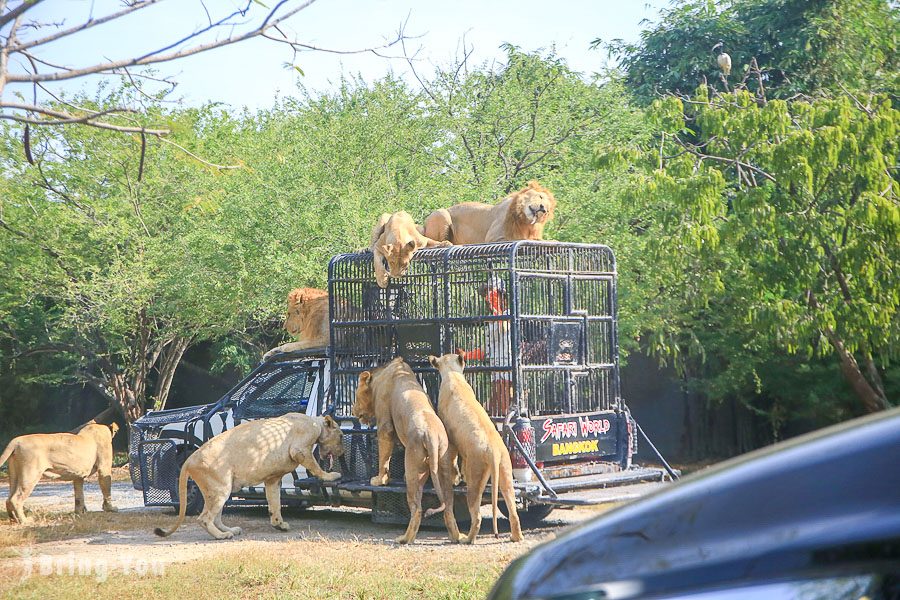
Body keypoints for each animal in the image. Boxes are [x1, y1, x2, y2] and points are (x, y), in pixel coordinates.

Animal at [422, 179, 556, 245]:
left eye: (547, 210)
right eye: (540, 197)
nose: (543, 208)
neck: (522, 219)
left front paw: (551, 240)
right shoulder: (493, 238)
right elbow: (519, 239)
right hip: (441, 213)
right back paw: (445, 243)